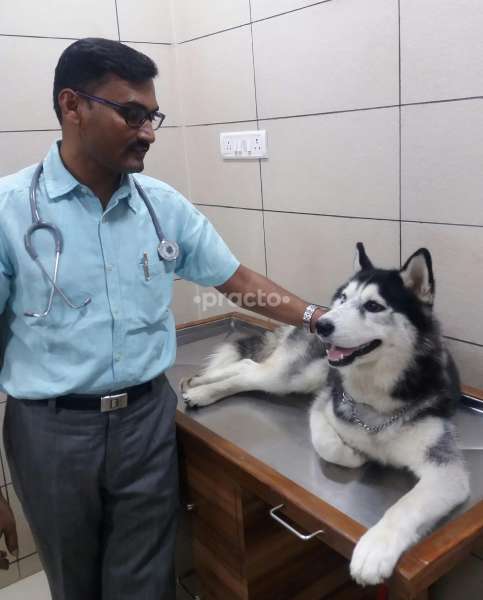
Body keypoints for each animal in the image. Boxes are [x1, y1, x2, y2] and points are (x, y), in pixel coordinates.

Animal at [181, 243, 468, 584]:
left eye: (374, 305)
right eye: (343, 298)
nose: (323, 326)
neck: (375, 396)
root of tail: (311, 310)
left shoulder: (447, 471)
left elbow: (405, 506)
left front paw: (375, 549)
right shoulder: (324, 405)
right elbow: (329, 446)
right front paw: (356, 454)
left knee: (248, 368)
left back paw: (200, 385)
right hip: (298, 376)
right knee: (250, 370)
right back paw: (202, 387)